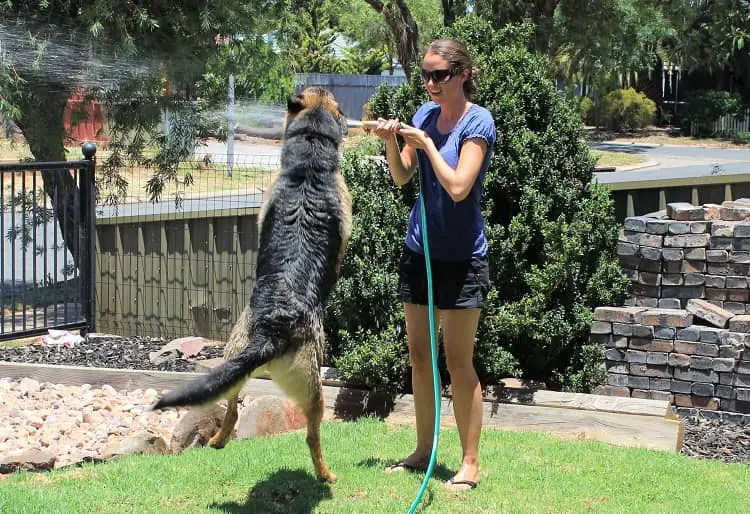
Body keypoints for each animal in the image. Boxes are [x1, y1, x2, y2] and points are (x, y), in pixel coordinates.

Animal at [154, 86, 354, 482]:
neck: (309, 163)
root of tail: (272, 332)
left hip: (233, 356)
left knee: (231, 408)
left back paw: (218, 440)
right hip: (314, 389)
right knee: (312, 436)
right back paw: (325, 475)